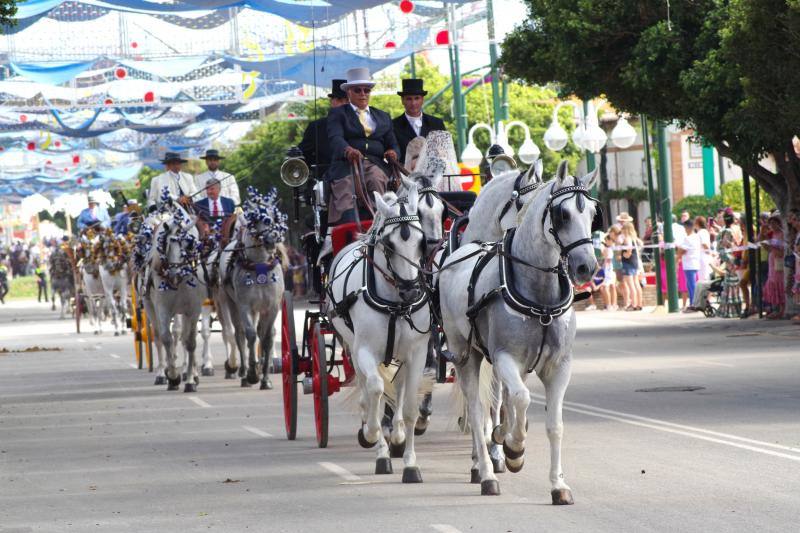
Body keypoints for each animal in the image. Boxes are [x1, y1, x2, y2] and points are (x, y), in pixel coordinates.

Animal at [219, 186, 288, 386]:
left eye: (275, 218)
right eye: (255, 220)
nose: (272, 239)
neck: (259, 266)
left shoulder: (272, 307)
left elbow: (266, 338)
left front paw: (265, 378)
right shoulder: (245, 306)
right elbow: (250, 335)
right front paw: (252, 373)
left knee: (261, 333)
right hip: (231, 303)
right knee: (239, 334)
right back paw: (243, 371)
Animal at [324, 185, 432, 480]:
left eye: (422, 241)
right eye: (389, 244)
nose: (412, 291)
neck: (396, 304)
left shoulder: (416, 352)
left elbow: (409, 405)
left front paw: (410, 462)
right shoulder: (364, 350)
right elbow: (375, 389)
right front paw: (372, 435)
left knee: (398, 389)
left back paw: (396, 435)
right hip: (352, 347)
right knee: (368, 388)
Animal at [438, 163, 600, 502]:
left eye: (593, 213)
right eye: (562, 214)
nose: (586, 268)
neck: (540, 296)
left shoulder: (558, 365)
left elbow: (553, 424)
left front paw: (558, 485)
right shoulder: (503, 358)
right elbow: (520, 399)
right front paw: (513, 448)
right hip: (464, 355)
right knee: (477, 413)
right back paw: (485, 472)